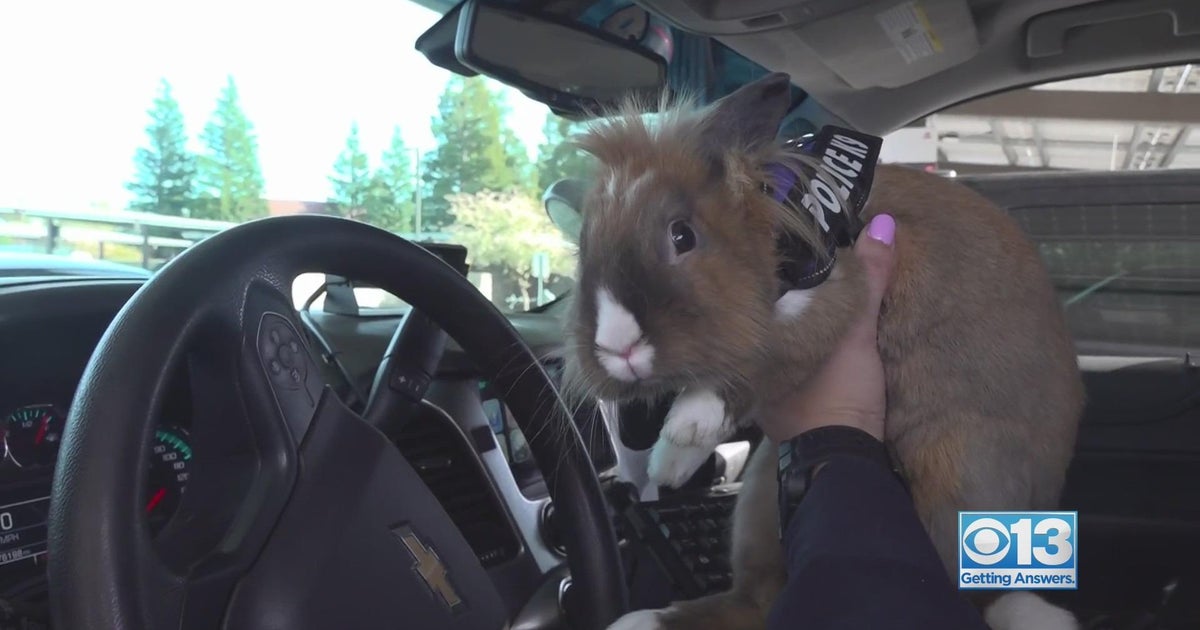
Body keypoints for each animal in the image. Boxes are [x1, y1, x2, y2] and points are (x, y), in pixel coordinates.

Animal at [559, 72, 1085, 630]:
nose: (617, 346)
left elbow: (751, 369)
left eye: (682, 235)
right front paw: (674, 468)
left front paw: (678, 441)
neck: (775, 229)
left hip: (957, 482)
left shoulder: (824, 304)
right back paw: (642, 619)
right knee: (753, 601)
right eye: (584, 248)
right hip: (761, 496)